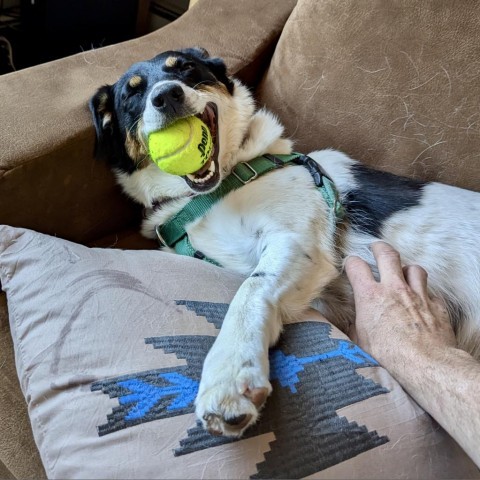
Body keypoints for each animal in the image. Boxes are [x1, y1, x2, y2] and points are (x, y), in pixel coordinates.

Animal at [89, 47, 480, 438]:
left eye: (186, 68)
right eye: (131, 94)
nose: (167, 95)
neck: (214, 191)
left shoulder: (298, 242)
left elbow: (249, 291)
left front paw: (230, 372)